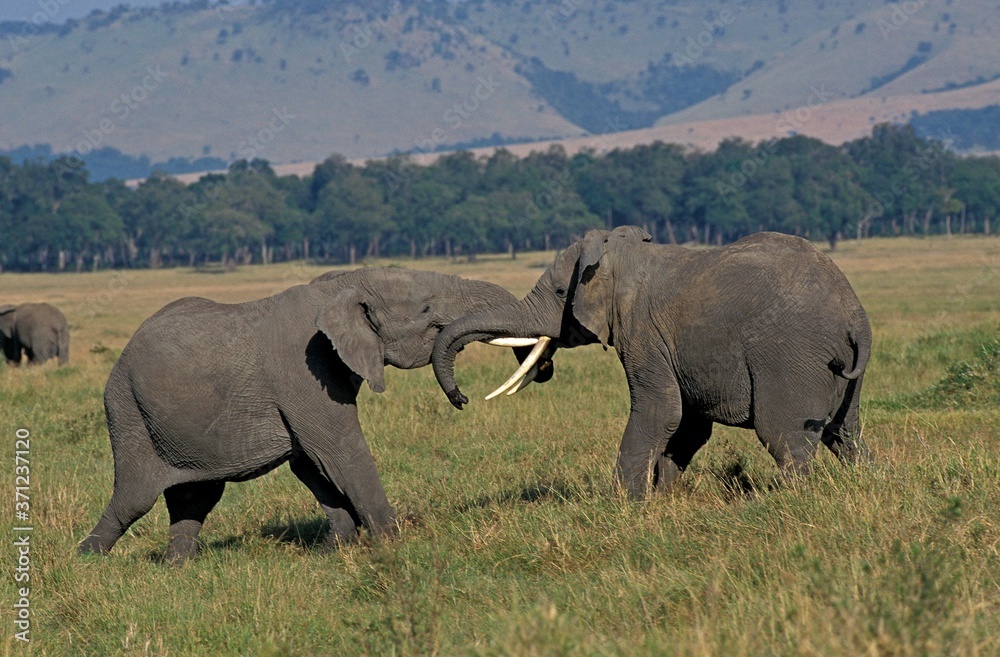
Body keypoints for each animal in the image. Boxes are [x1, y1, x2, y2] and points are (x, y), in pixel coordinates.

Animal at [79, 267, 534, 561]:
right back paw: (87, 559)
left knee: (196, 496)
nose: (462, 399)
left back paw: (178, 566)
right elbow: (339, 451)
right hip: (127, 410)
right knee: (135, 497)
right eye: (424, 310)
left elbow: (311, 464)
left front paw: (338, 549)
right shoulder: (303, 368)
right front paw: (394, 541)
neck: (340, 285)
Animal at [432, 227, 872, 499]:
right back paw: (865, 480)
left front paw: (624, 504)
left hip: (790, 356)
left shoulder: (643, 333)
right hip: (838, 370)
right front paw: (661, 497)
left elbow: (662, 411)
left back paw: (781, 500)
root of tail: (856, 316)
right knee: (844, 431)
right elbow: (688, 424)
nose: (462, 399)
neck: (624, 253)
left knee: (784, 434)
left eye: (560, 292)